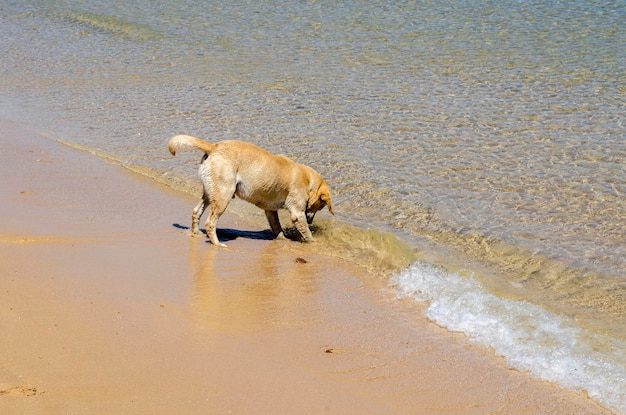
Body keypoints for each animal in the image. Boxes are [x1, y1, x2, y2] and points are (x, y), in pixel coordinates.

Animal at [166, 136, 332, 247]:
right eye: (320, 207)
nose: (310, 221)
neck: (308, 180)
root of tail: (214, 147)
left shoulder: (270, 210)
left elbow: (277, 227)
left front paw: (282, 239)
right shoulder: (298, 214)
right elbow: (306, 233)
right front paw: (314, 242)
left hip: (210, 193)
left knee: (196, 211)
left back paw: (196, 233)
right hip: (223, 196)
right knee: (210, 223)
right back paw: (217, 244)